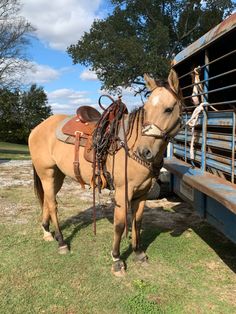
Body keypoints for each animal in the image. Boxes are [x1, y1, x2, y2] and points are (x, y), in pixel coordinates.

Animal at [28, 70, 183, 276]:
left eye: (168, 109)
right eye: (146, 110)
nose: (144, 152)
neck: (130, 144)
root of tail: (37, 127)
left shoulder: (142, 193)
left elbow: (138, 222)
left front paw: (138, 253)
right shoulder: (123, 190)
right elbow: (120, 224)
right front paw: (117, 260)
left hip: (56, 176)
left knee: (46, 200)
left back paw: (47, 232)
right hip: (46, 173)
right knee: (53, 205)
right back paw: (61, 242)